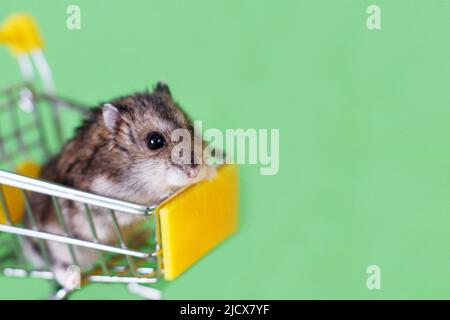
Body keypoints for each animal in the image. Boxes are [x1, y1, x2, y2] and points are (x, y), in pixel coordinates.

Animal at [22, 81, 216, 288]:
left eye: (190, 128)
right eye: (155, 141)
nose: (195, 171)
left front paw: (209, 173)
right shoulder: (107, 206)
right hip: (59, 242)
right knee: (56, 262)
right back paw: (71, 280)